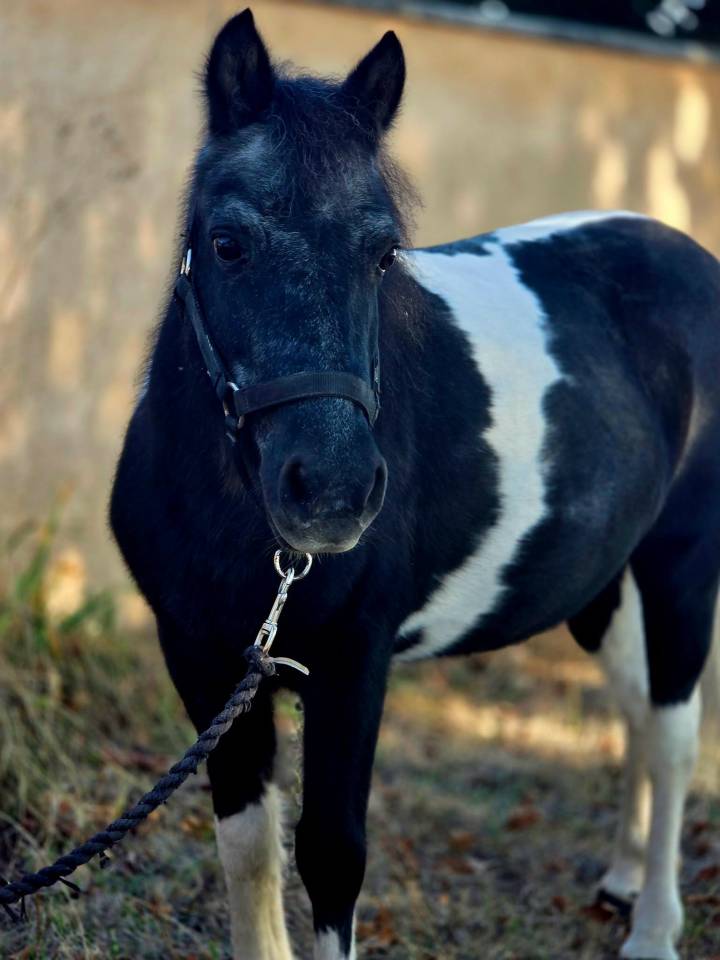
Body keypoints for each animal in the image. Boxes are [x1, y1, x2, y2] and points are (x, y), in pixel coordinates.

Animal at [110, 10, 720, 960]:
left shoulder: (353, 664)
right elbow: (248, 846)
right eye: (227, 242)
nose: (331, 489)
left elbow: (330, 856)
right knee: (632, 708)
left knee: (672, 734)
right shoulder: (203, 660)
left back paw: (654, 928)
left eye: (383, 250)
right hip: (605, 588)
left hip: (681, 569)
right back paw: (620, 878)